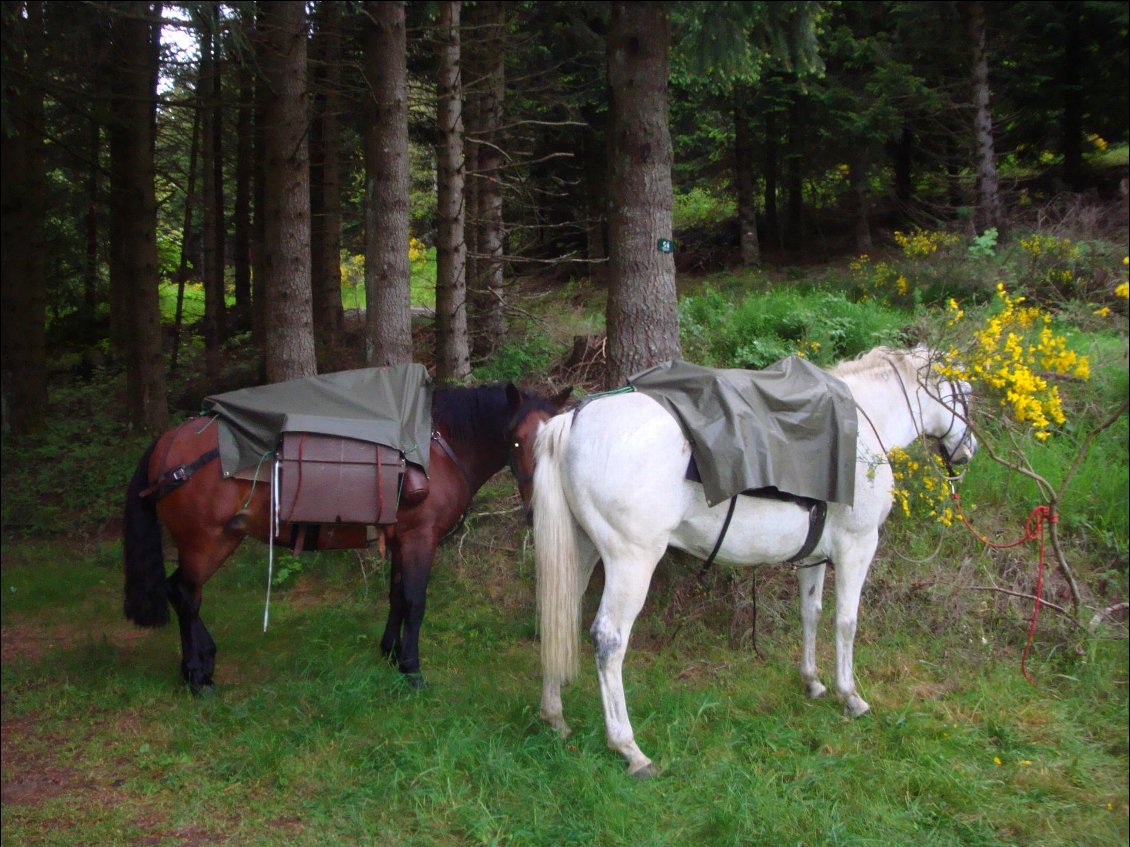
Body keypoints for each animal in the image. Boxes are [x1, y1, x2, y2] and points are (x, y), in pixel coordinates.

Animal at [123, 381, 569, 691]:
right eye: (518, 442)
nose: (537, 510)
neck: (436, 450)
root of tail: (169, 441)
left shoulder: (402, 540)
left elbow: (396, 596)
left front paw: (390, 653)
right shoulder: (421, 539)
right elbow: (415, 602)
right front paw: (412, 670)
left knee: (184, 593)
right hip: (205, 541)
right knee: (184, 594)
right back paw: (197, 673)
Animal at [533, 345, 976, 776]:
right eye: (966, 394)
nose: (968, 451)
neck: (862, 431)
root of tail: (574, 420)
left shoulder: (815, 556)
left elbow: (811, 612)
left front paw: (812, 682)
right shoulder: (858, 545)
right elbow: (846, 622)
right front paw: (849, 696)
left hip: (583, 551)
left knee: (559, 612)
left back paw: (555, 716)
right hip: (631, 562)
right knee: (608, 640)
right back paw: (629, 749)